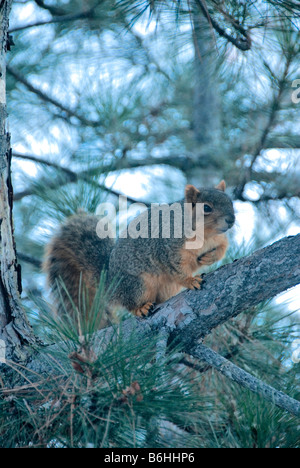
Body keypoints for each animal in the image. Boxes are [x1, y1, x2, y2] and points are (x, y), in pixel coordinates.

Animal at [44, 181, 234, 324]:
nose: (231, 220)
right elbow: (175, 269)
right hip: (138, 285)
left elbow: (223, 248)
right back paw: (140, 308)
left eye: (231, 202)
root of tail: (110, 282)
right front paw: (190, 280)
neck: (206, 235)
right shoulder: (167, 248)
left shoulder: (219, 240)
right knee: (130, 303)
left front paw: (210, 258)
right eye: (206, 208)